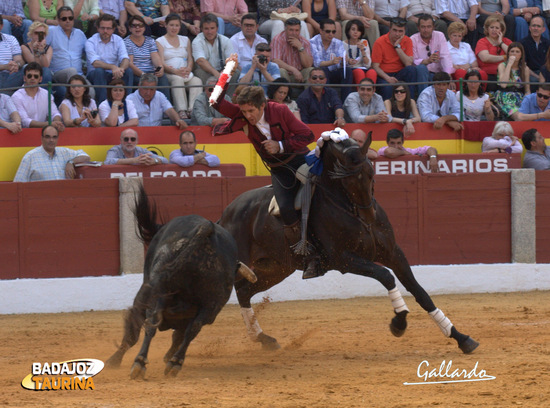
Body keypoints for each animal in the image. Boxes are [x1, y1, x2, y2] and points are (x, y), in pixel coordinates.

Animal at [108, 186, 258, 378]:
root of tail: (206, 229)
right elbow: (180, 333)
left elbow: (133, 332)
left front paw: (114, 360)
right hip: (212, 303)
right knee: (192, 328)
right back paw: (172, 362)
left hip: (158, 292)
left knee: (153, 322)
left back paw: (146, 363)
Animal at [219, 133, 478, 354]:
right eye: (346, 180)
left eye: (371, 173)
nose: (369, 217)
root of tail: (226, 215)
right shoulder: (344, 260)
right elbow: (386, 276)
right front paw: (399, 322)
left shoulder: (393, 253)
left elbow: (419, 291)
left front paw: (461, 337)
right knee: (238, 289)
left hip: (276, 268)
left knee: (244, 291)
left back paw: (264, 339)